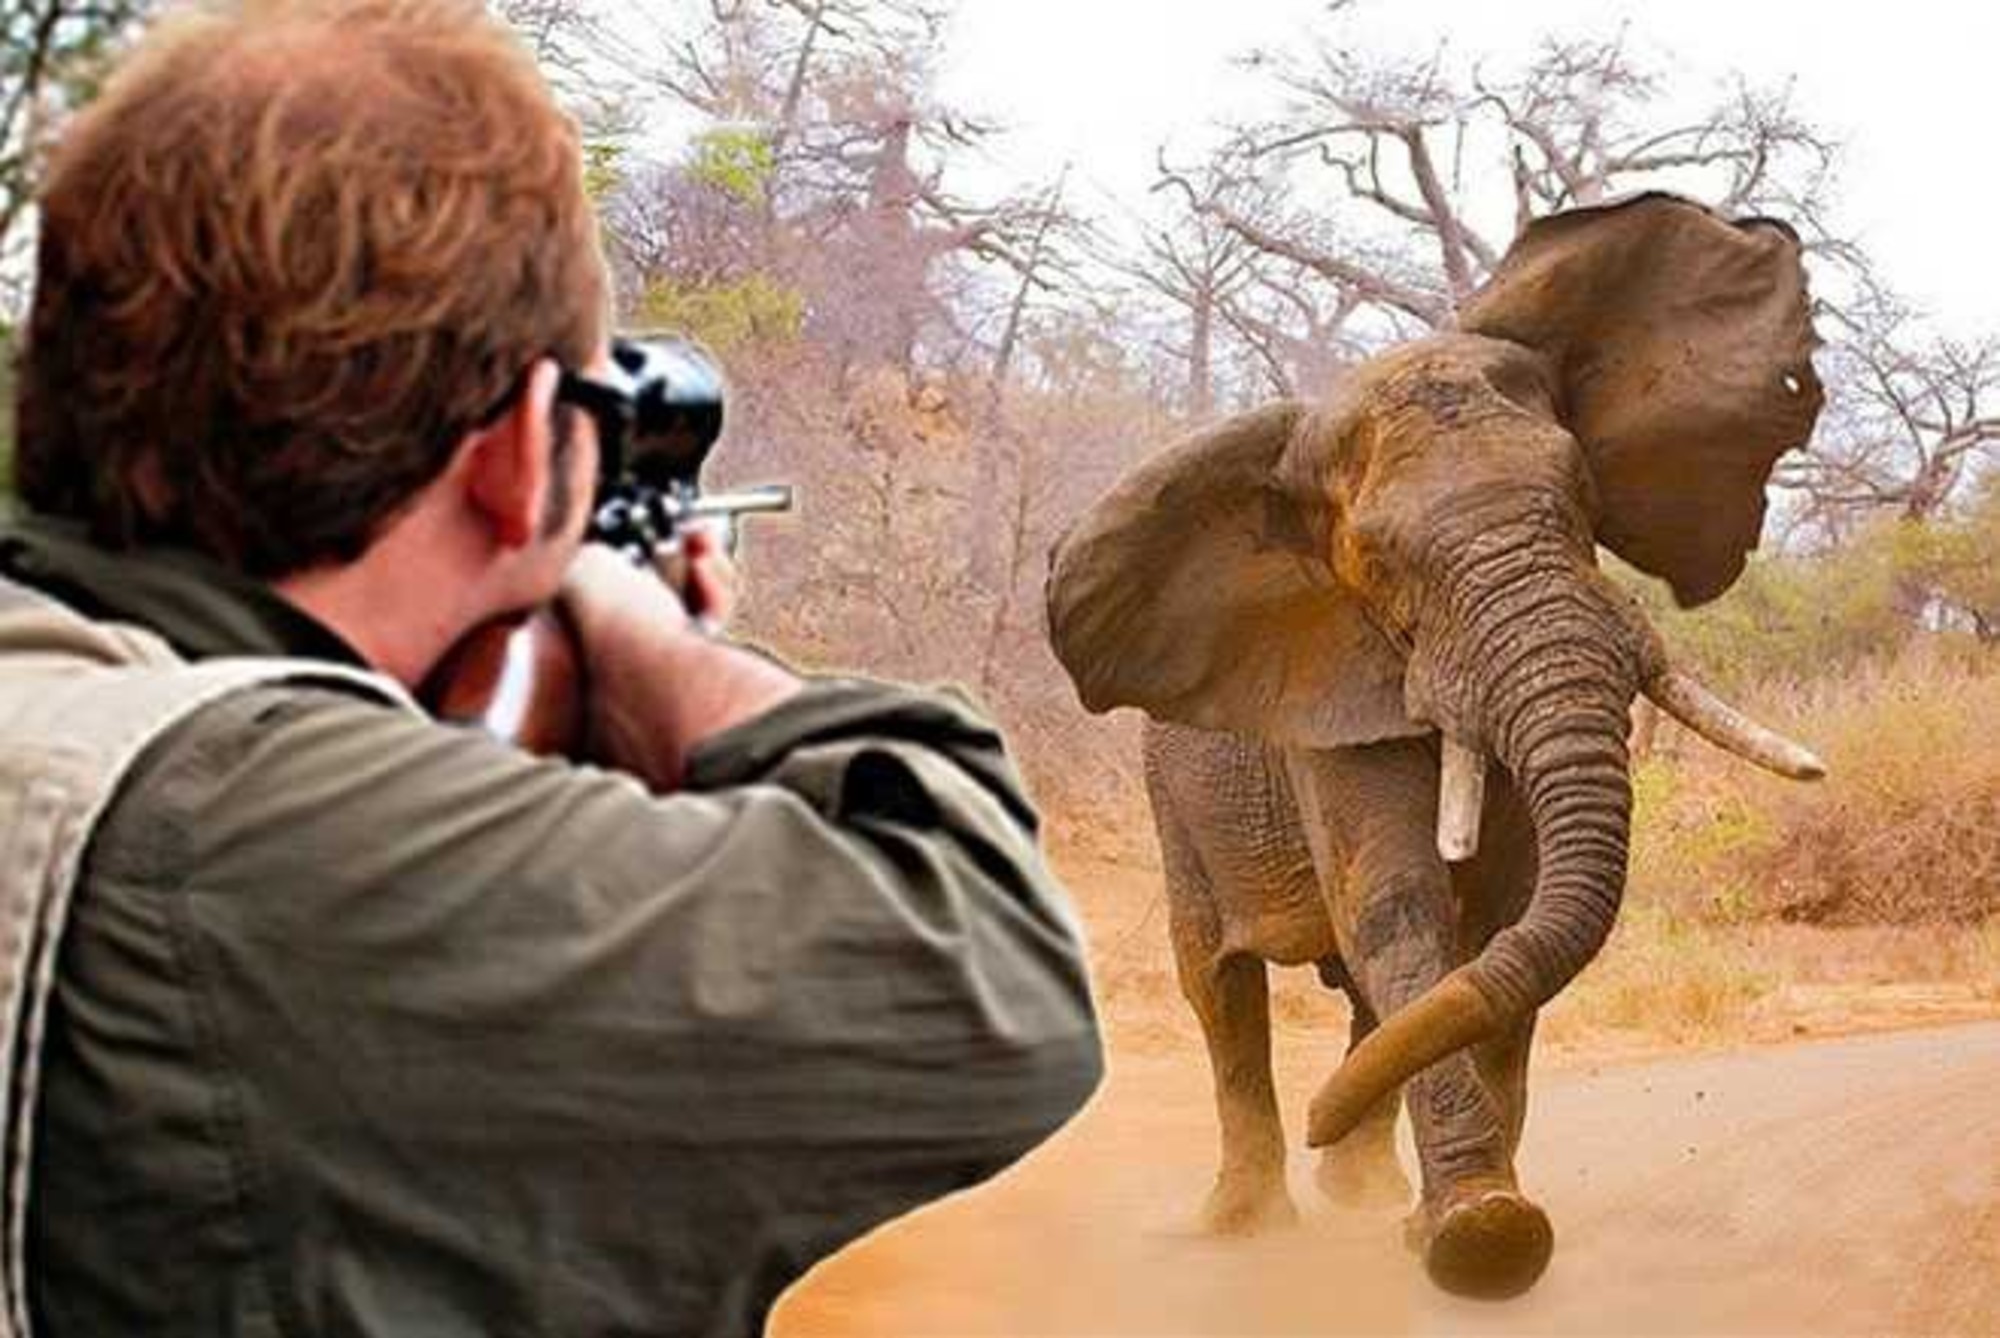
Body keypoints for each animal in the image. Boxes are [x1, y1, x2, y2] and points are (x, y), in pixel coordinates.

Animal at [1045, 193, 1828, 1299]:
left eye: (1583, 499)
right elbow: (1399, 905)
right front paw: (1482, 1236)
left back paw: (1358, 1195)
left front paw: (1454, 1224)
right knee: (1219, 985)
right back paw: (1249, 1223)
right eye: (1379, 561)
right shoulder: (1332, 686)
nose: (1322, 1119)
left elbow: (1499, 923)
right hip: (1174, 803)